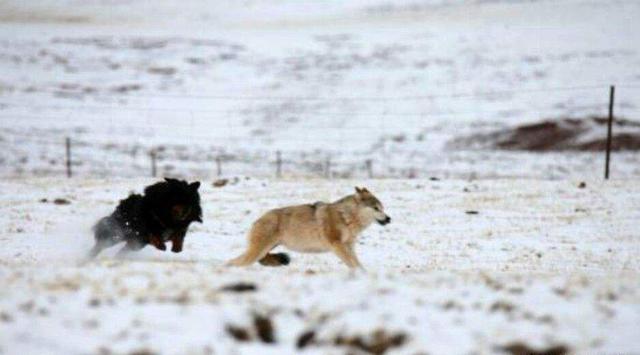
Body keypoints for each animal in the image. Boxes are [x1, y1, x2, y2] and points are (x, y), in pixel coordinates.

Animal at [228, 188, 392, 268]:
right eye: (376, 208)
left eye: (382, 208)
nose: (389, 219)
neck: (346, 217)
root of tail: (257, 220)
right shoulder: (337, 245)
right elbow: (353, 264)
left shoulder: (349, 246)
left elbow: (356, 264)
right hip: (258, 252)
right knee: (234, 262)